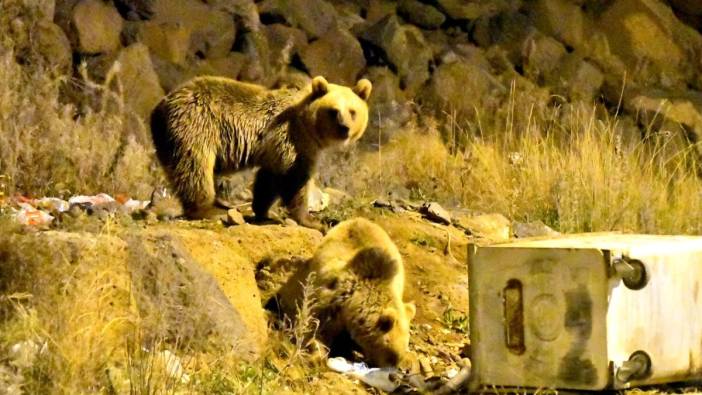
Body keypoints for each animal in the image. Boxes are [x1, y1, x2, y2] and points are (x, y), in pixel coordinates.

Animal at [149, 76, 374, 229]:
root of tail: (158, 108)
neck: (308, 126)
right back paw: (210, 209)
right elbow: (294, 179)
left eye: (352, 111)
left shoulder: (275, 148)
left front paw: (263, 210)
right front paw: (311, 220)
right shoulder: (293, 140)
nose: (344, 128)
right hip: (196, 125)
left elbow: (268, 179)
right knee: (195, 167)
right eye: (333, 111)